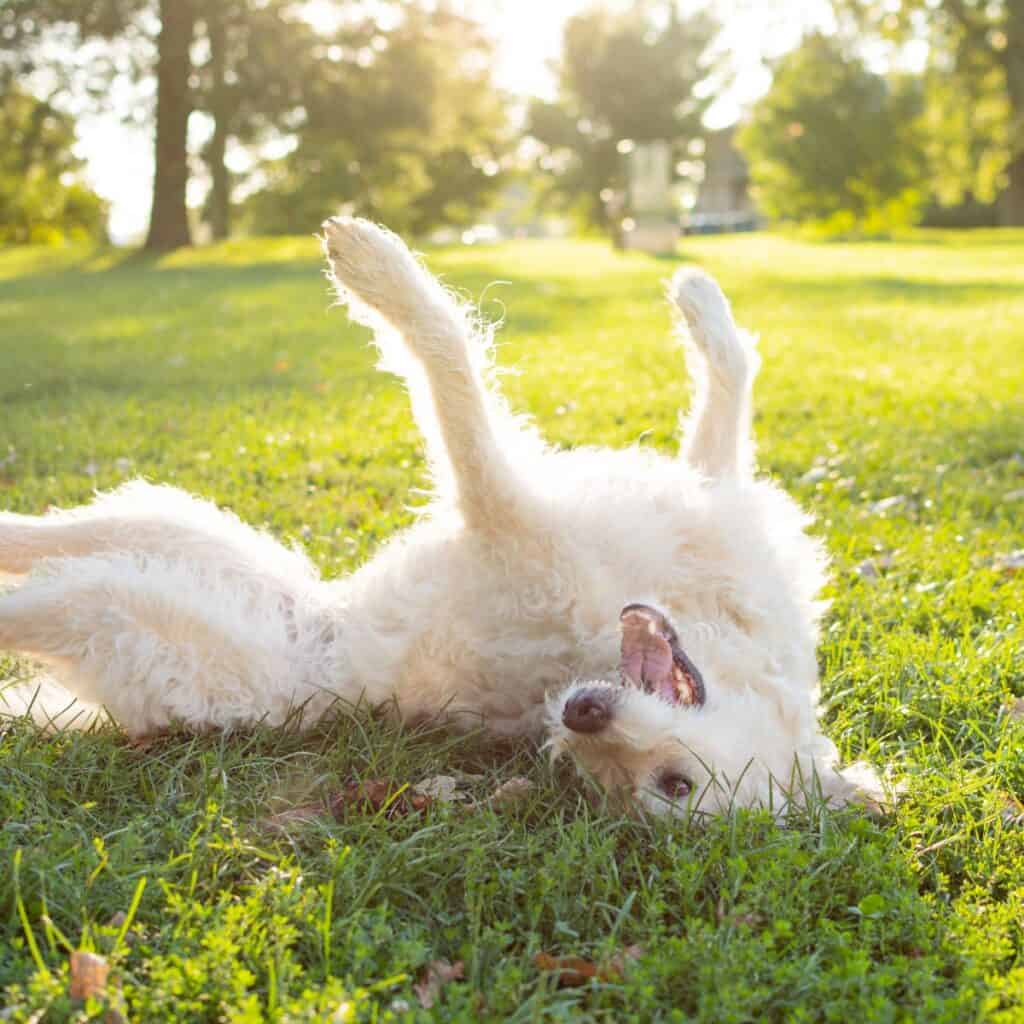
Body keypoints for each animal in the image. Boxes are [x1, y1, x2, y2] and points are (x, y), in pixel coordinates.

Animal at [0, 216, 880, 815]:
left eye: (670, 784)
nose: (583, 715)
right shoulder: (703, 494)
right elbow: (727, 393)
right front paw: (699, 298)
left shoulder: (504, 511)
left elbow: (452, 368)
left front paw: (375, 269)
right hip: (171, 529)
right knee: (57, 535)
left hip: (125, 605)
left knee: (42, 597)